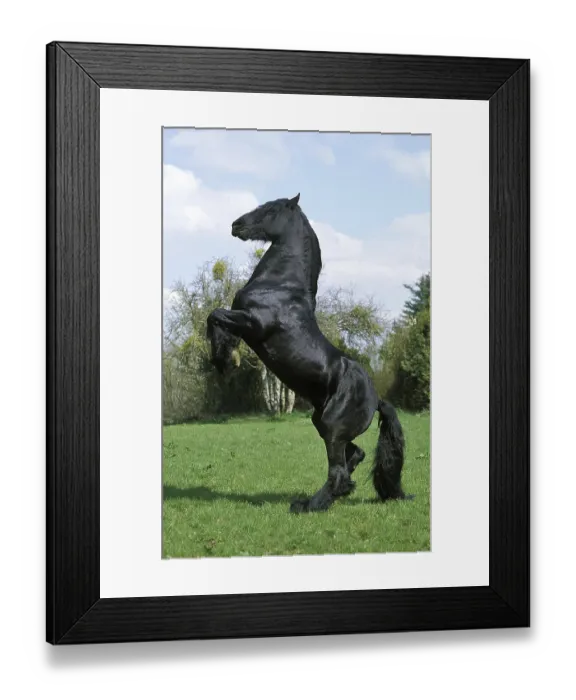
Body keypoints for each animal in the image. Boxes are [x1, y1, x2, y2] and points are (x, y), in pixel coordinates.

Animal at [206, 193, 413, 513]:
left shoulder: (253, 323)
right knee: (355, 456)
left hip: (333, 427)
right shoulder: (242, 319)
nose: (235, 224)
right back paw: (313, 501)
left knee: (339, 471)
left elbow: (214, 315)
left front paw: (225, 360)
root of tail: (377, 399)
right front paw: (227, 356)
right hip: (325, 425)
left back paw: (308, 507)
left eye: (270, 209)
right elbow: (215, 319)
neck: (279, 285)